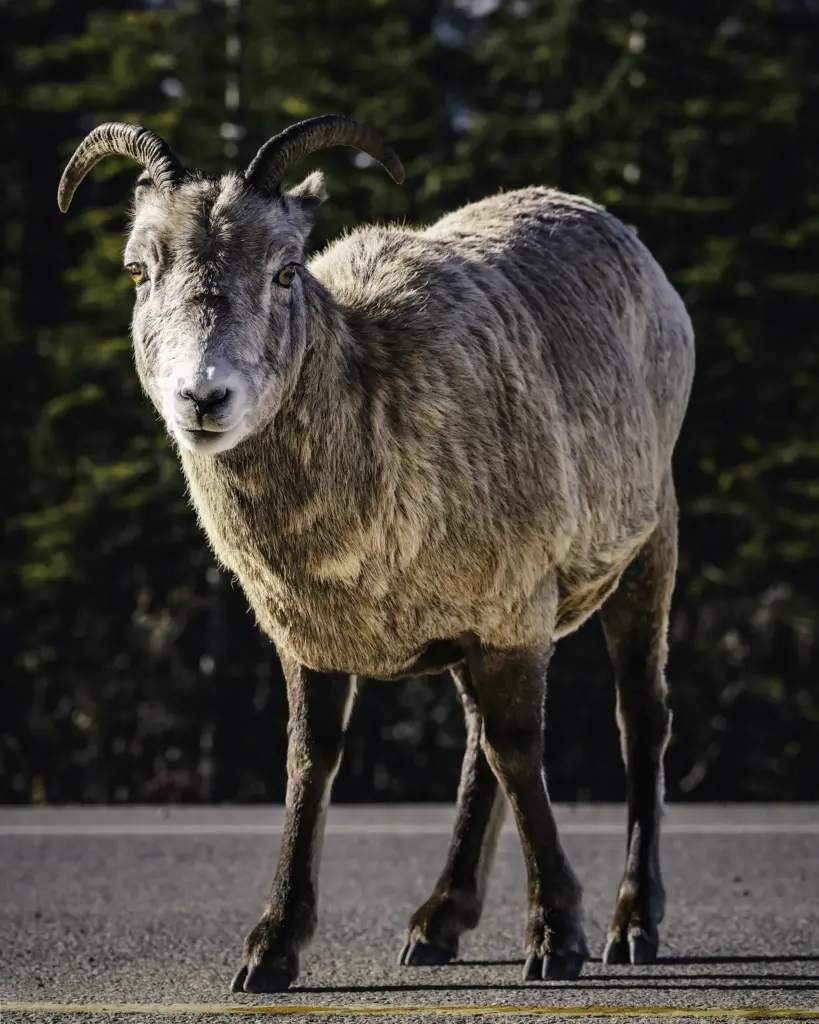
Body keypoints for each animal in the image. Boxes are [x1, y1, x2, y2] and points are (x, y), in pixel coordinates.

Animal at [59, 117, 696, 991]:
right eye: (136, 268)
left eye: (286, 269)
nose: (205, 397)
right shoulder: (315, 642)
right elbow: (312, 763)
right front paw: (272, 949)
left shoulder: (513, 620)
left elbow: (520, 754)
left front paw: (554, 938)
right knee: (477, 748)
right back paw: (436, 925)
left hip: (646, 550)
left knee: (638, 719)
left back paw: (630, 926)